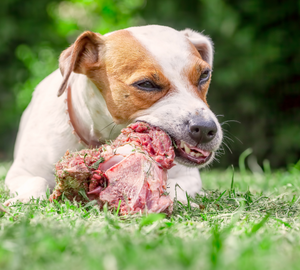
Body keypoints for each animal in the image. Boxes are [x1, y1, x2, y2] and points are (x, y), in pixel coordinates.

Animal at [3, 25, 221, 207]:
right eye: (146, 84)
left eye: (205, 74)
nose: (205, 128)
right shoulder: (21, 172)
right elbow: (36, 179)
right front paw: (25, 198)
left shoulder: (189, 177)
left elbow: (175, 187)